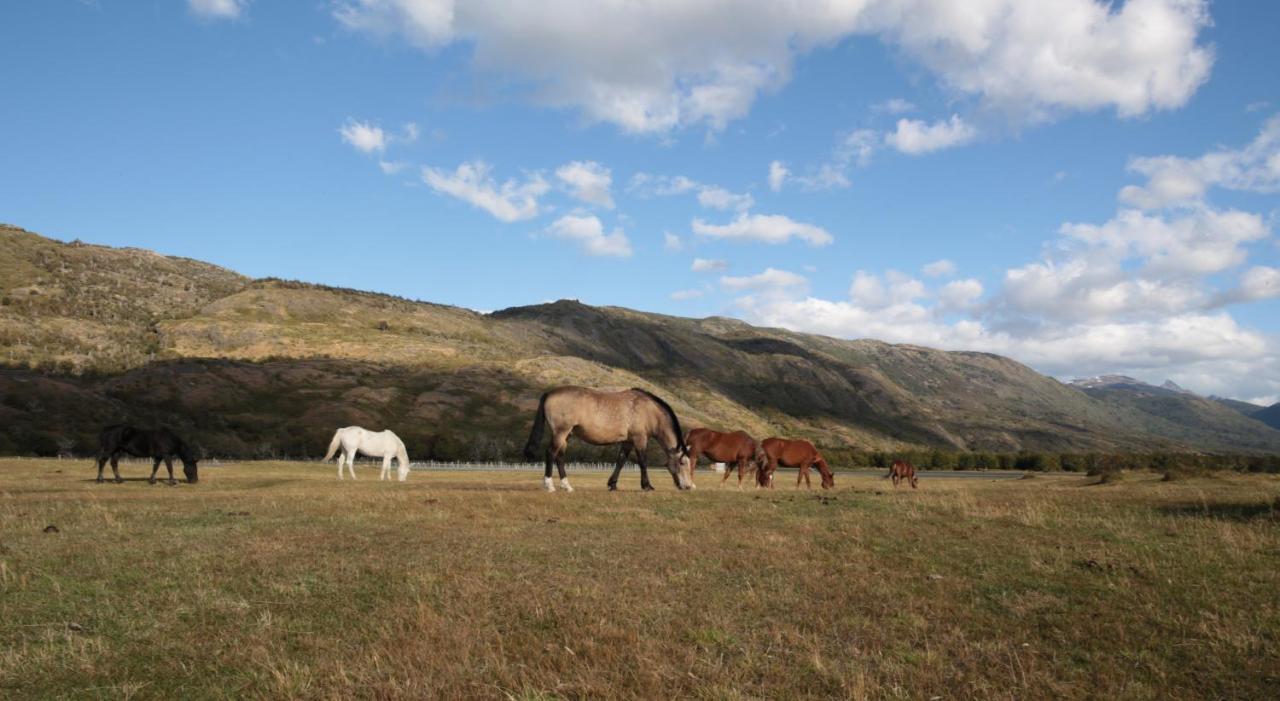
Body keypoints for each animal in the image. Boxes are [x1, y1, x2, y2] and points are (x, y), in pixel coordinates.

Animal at [519, 388, 691, 493]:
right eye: (683, 462)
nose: (688, 486)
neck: (648, 410)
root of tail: (550, 392)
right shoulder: (639, 439)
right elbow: (643, 461)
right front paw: (647, 485)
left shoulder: (628, 441)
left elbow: (621, 461)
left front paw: (612, 484)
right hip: (561, 432)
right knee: (550, 453)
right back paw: (549, 485)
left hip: (566, 435)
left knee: (559, 457)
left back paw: (567, 486)